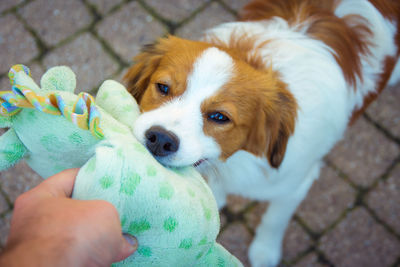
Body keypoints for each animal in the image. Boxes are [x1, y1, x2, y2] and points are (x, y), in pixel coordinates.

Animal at [124, 1, 400, 266]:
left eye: (219, 117)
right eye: (163, 87)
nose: (160, 139)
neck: (236, 160)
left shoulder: (296, 184)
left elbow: (274, 220)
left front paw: (265, 250)